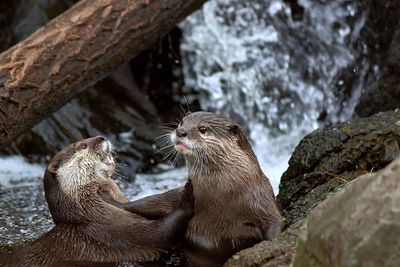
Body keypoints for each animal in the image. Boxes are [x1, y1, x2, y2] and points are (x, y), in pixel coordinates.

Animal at [0, 137, 194, 266]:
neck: (91, 214)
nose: (102, 137)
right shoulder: (113, 235)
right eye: (82, 145)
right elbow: (158, 233)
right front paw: (187, 196)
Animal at [104, 113, 282, 267]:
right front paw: (110, 200)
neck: (220, 197)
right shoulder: (179, 194)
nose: (180, 131)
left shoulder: (261, 201)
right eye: (182, 122)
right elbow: (148, 202)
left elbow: (274, 225)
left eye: (203, 128)